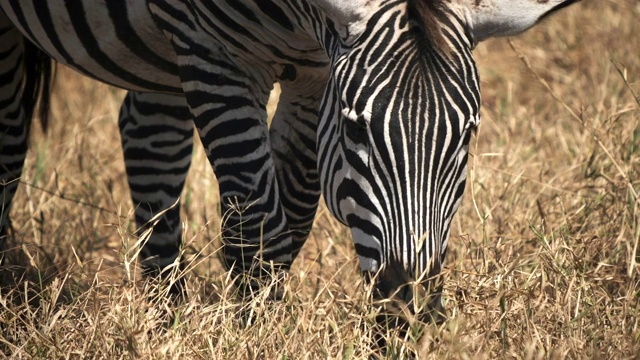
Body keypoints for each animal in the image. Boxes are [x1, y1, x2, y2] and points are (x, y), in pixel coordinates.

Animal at [0, 0, 580, 324]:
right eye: (355, 129)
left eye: (466, 136)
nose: (409, 308)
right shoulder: (213, 52)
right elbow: (259, 227)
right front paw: (258, 333)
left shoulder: (314, 67)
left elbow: (293, 218)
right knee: (9, 138)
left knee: (149, 135)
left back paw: (167, 316)